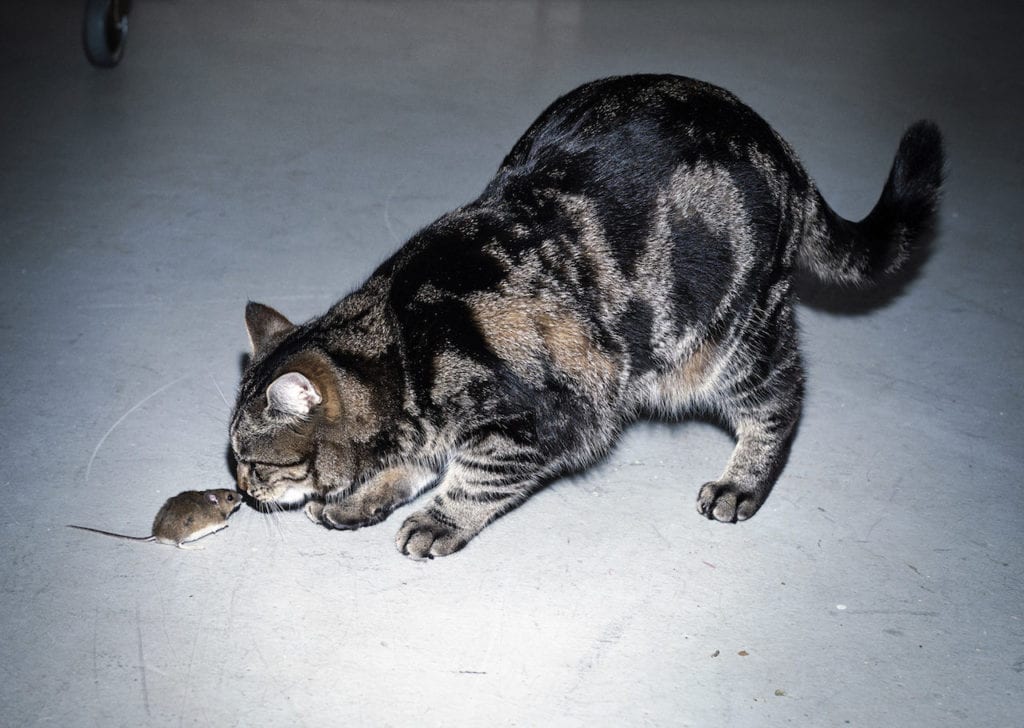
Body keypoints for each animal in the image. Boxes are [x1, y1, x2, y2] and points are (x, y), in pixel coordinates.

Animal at [230, 74, 942, 561]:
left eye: (252, 462)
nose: (238, 491)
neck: (407, 347)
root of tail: (781, 147)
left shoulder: (541, 420)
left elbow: (474, 478)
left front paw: (438, 520)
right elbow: (417, 462)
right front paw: (368, 495)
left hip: (729, 344)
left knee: (782, 400)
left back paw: (741, 484)